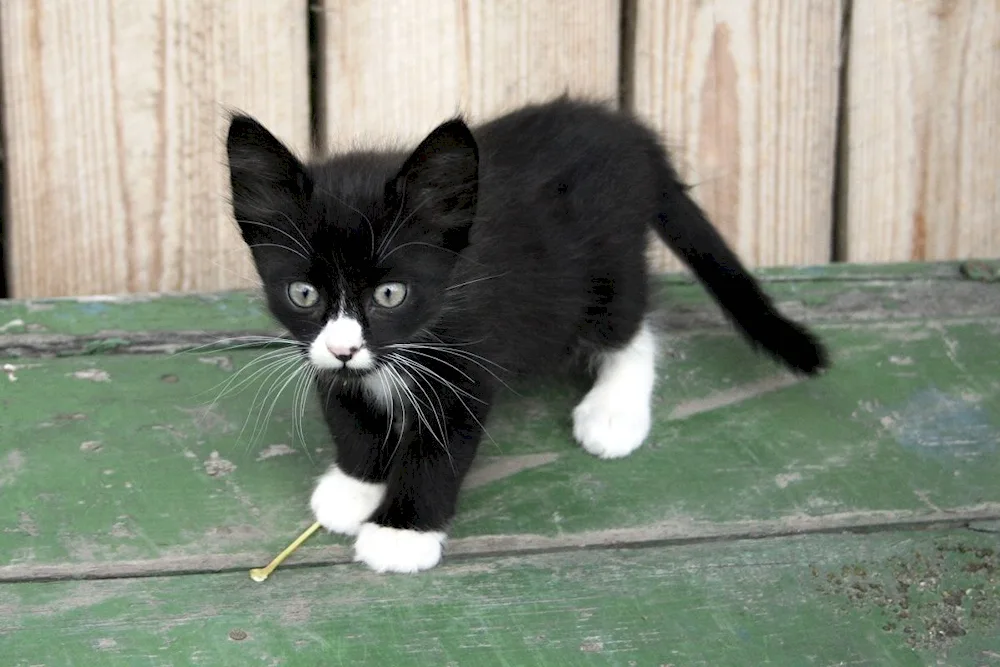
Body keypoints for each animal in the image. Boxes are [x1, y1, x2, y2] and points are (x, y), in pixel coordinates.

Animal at [225, 98, 828, 576]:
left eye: (390, 294)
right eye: (303, 294)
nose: (346, 348)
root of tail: (630, 134)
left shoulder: (470, 360)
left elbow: (439, 451)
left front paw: (401, 535)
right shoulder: (322, 357)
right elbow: (351, 415)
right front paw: (355, 489)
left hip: (608, 265)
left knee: (631, 324)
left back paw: (615, 412)